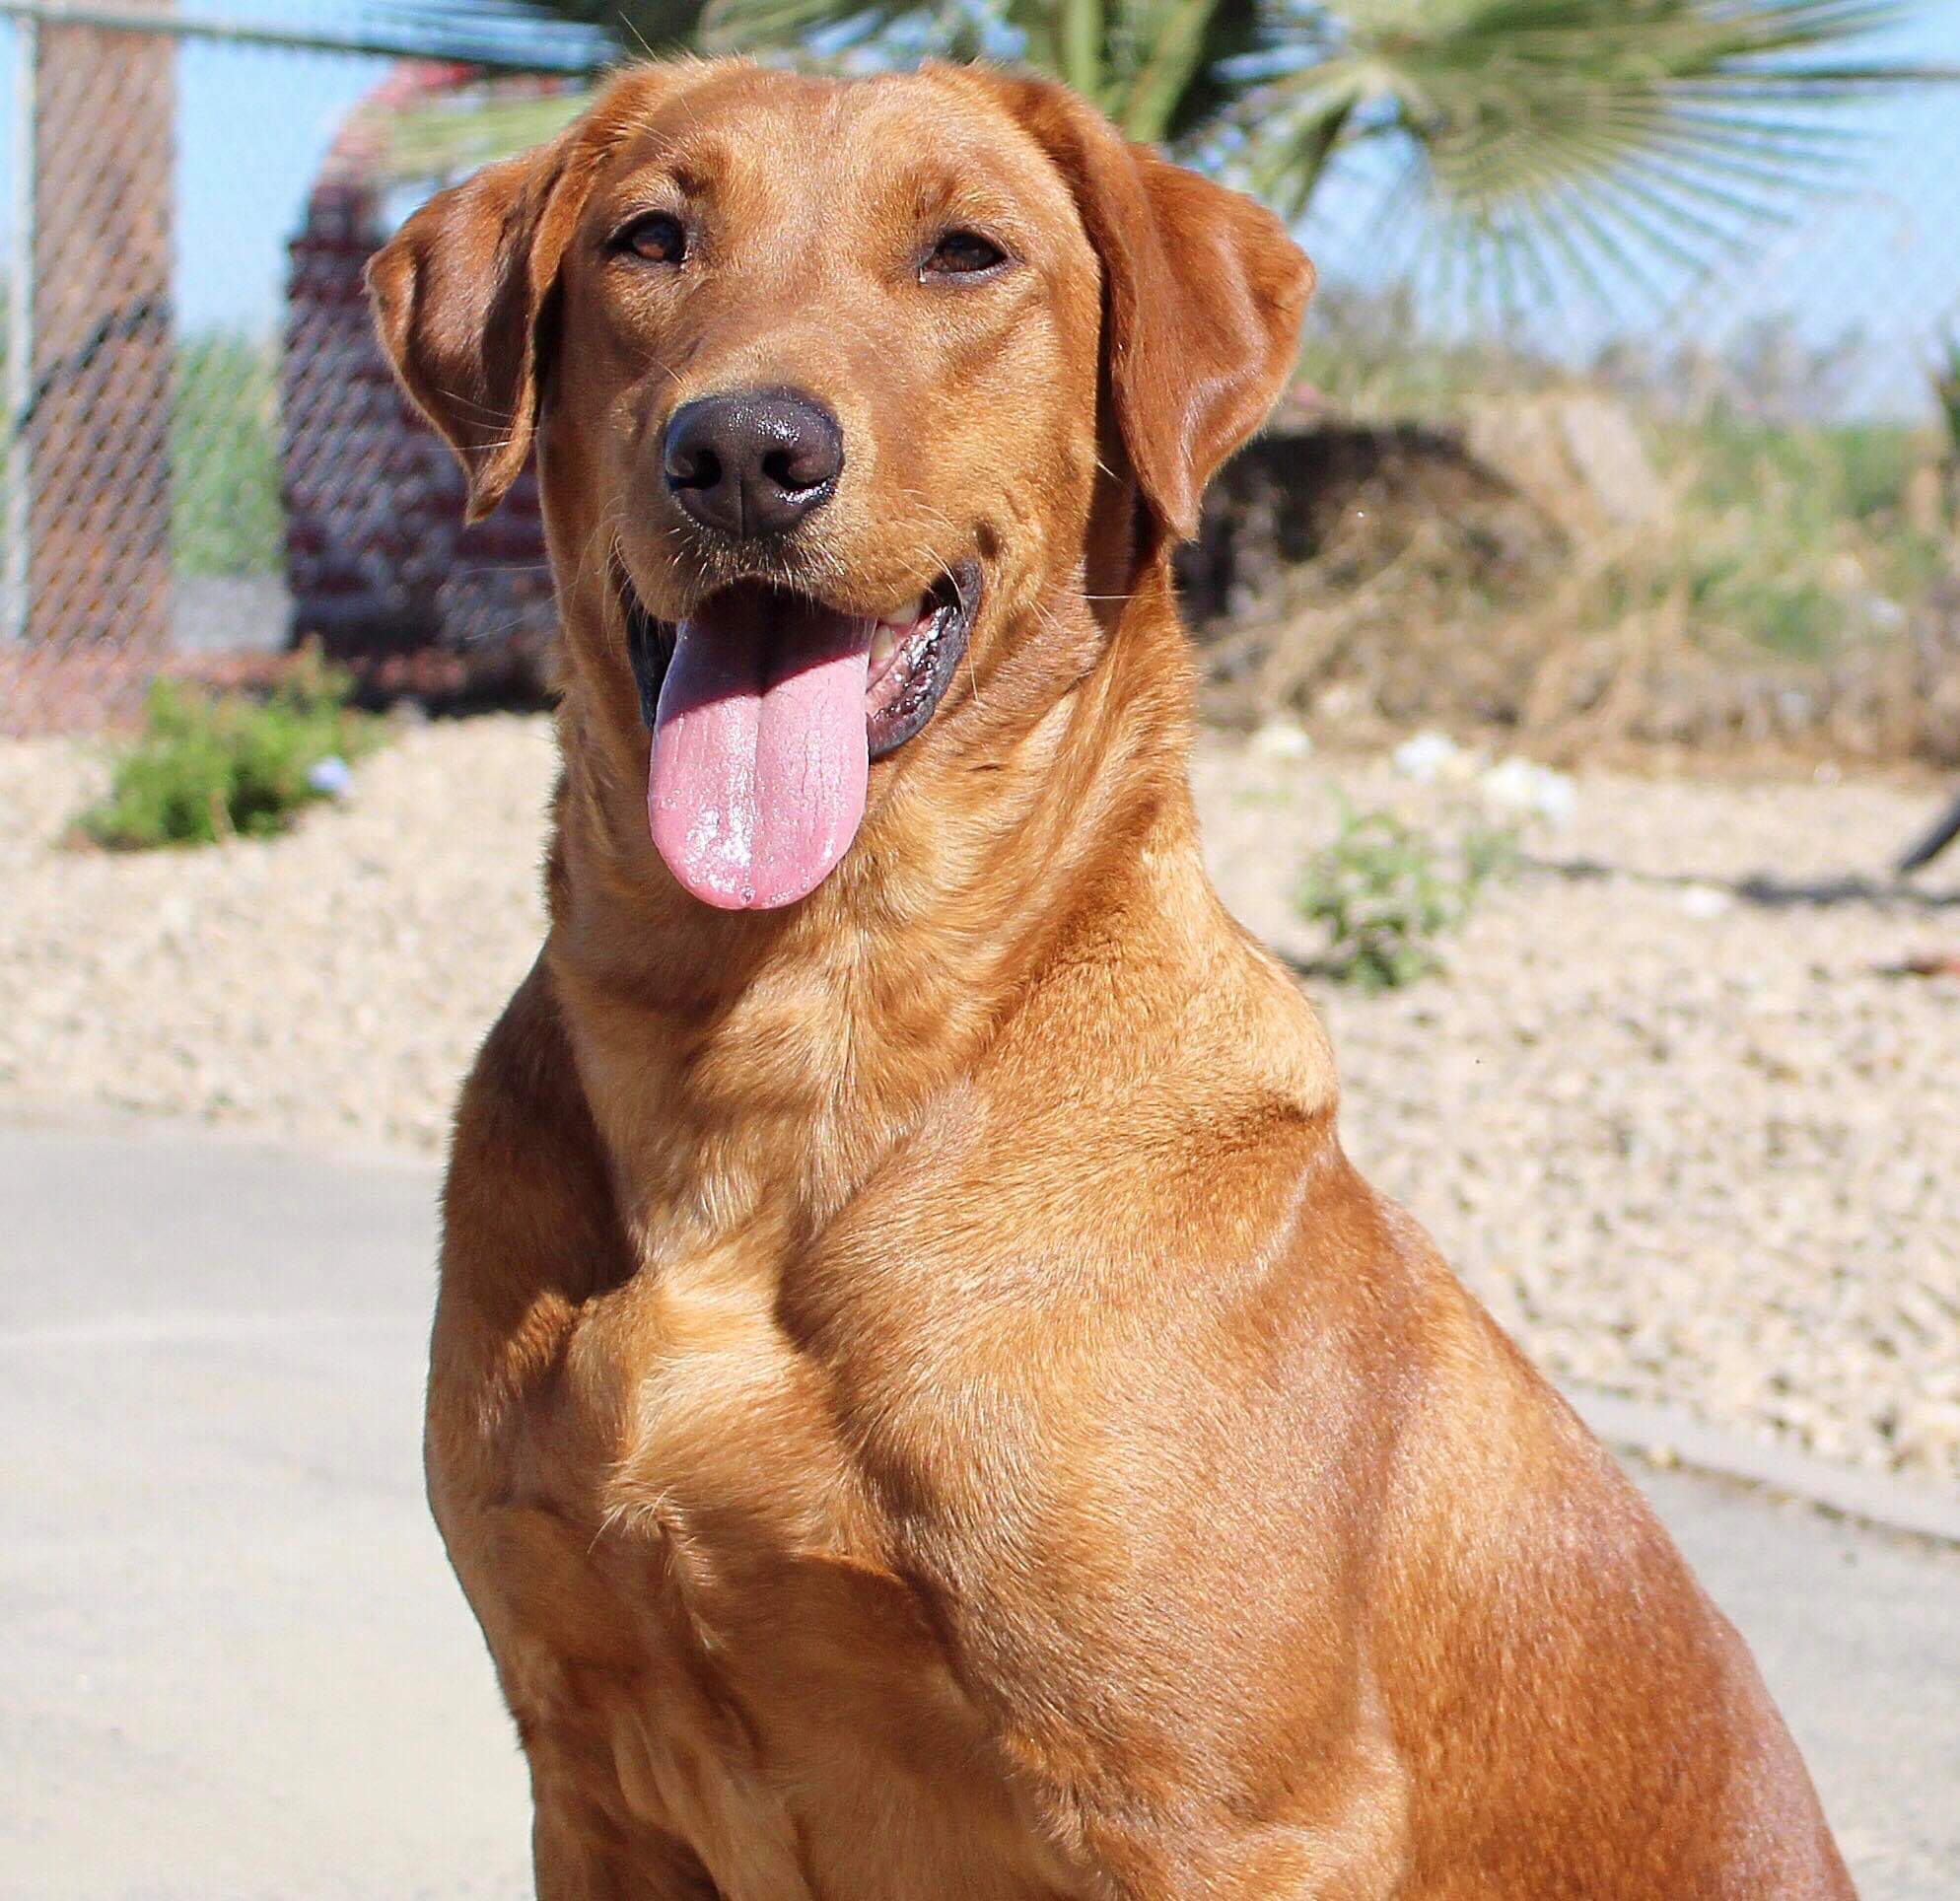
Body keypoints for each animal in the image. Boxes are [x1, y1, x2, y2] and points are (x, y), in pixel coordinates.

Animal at [368, 59, 1850, 1897]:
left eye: (964, 252)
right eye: (650, 237)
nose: (742, 453)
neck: (777, 1046)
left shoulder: (1222, 1814)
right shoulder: (587, 1766)